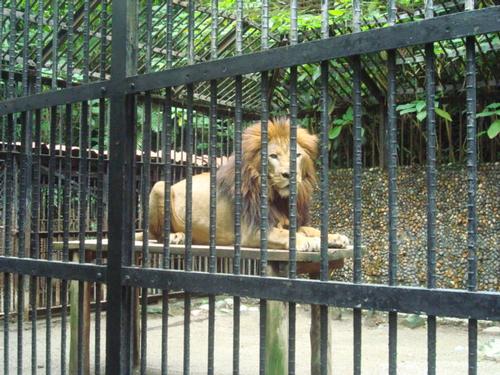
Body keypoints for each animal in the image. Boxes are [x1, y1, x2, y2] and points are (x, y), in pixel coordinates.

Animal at [143, 117, 350, 253]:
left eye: (297, 155)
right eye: (273, 156)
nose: (289, 174)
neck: (277, 198)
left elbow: (311, 229)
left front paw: (335, 237)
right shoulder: (251, 231)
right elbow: (285, 235)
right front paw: (308, 242)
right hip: (160, 186)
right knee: (156, 235)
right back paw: (176, 236)